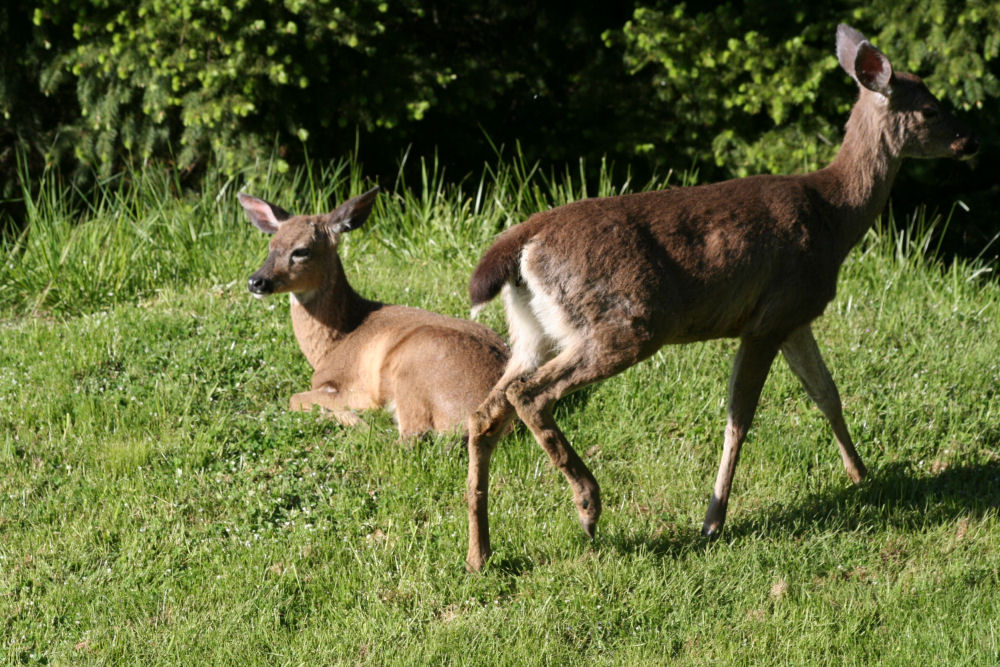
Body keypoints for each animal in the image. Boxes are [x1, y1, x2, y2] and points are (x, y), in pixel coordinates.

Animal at [240, 188, 508, 438]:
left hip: (412, 367)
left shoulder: (350, 386)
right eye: (270, 246)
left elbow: (294, 398)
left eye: (302, 250)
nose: (256, 281)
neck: (335, 341)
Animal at [464, 23, 980, 572]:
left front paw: (862, 474)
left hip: (533, 331)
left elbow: (827, 394)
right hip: (625, 322)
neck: (834, 217)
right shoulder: (770, 317)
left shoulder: (797, 318)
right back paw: (588, 506)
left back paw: (480, 553)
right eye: (930, 109)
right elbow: (740, 418)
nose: (970, 141)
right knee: (529, 395)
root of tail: (522, 244)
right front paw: (713, 520)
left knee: (485, 414)